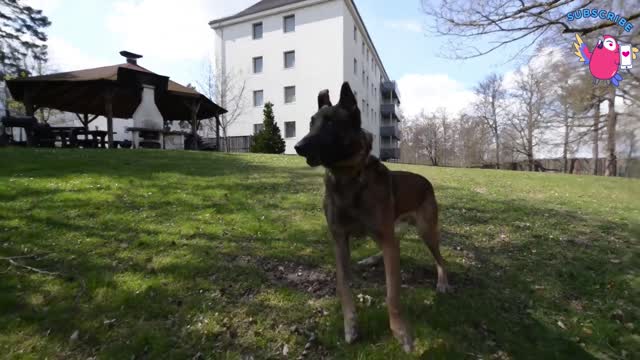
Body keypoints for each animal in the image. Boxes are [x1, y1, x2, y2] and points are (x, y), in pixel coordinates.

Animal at [296, 81, 450, 352]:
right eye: (311, 123)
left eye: (331, 123)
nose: (298, 147)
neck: (348, 178)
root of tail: (426, 181)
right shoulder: (339, 240)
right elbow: (343, 285)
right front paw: (351, 325)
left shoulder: (387, 240)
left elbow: (392, 293)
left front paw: (400, 331)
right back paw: (370, 260)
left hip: (426, 231)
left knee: (440, 260)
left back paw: (442, 282)